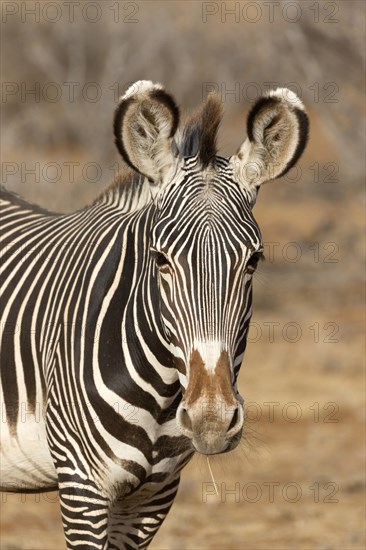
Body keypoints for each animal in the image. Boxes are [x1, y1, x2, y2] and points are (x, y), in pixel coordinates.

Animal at [0, 80, 308, 548]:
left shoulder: (154, 495)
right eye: (161, 260)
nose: (212, 420)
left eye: (253, 261)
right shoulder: (81, 484)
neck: (162, 395)